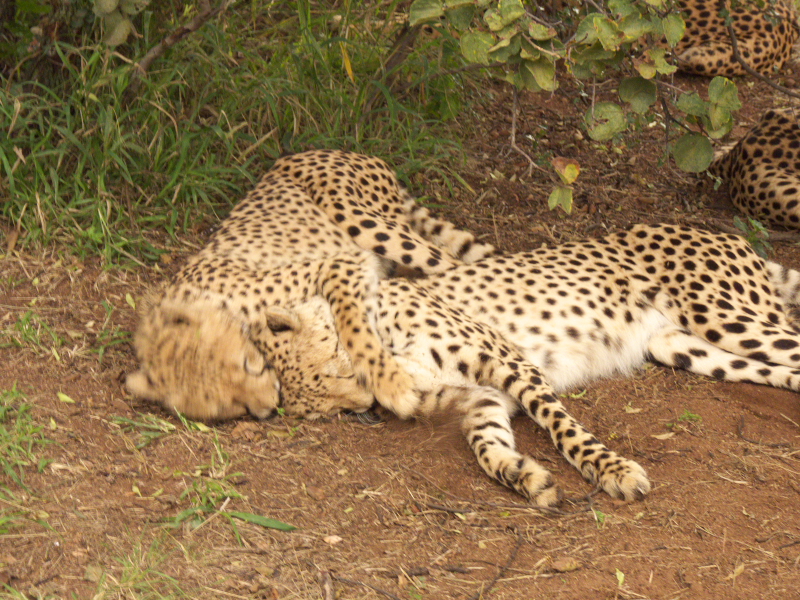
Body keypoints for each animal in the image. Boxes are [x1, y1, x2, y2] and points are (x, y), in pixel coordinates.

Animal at [125, 149, 494, 422]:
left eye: (248, 364)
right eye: (234, 407)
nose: (269, 405)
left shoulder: (342, 263)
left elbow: (354, 329)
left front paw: (393, 386)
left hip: (357, 216)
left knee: (450, 261)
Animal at [241, 223, 800, 504]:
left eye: (341, 374)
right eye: (337, 410)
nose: (368, 407)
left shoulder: (510, 361)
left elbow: (563, 428)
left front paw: (612, 471)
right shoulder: (482, 397)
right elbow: (487, 447)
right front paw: (524, 476)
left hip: (728, 318)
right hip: (692, 348)